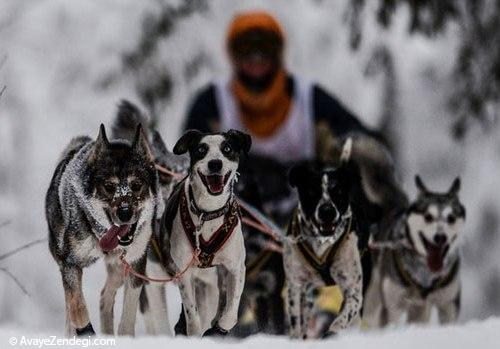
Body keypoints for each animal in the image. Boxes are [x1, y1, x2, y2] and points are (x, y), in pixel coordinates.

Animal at [47, 113, 160, 334]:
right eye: (109, 187)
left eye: (136, 185)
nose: (125, 212)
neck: (100, 234)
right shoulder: (70, 264)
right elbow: (77, 307)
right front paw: (85, 332)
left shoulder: (136, 264)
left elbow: (128, 315)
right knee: (72, 307)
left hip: (119, 268)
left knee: (105, 295)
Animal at [146, 127, 252, 334]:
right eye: (201, 149)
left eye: (227, 148)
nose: (215, 163)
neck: (208, 214)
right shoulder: (184, 272)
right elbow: (192, 316)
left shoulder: (236, 267)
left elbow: (230, 312)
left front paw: (221, 326)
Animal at [284, 140, 362, 338]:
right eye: (312, 192)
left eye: (338, 192)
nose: (327, 211)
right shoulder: (296, 286)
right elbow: (296, 322)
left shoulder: (353, 288)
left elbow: (345, 315)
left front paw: (333, 330)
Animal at [364, 177, 464, 326]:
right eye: (428, 217)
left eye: (451, 218)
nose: (441, 237)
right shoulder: (392, 306)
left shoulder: (448, 303)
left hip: (420, 310)